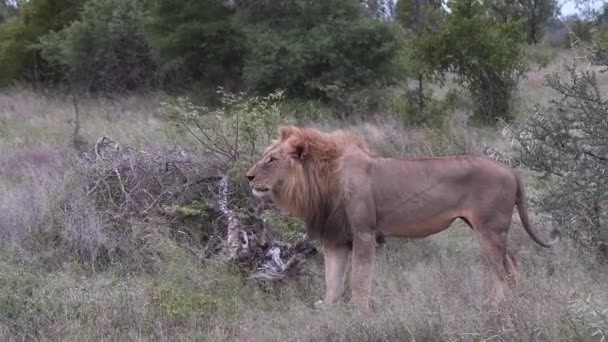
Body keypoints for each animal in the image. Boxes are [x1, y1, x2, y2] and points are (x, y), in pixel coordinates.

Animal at [245, 125, 564, 310]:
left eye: (271, 159)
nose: (248, 177)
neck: (322, 180)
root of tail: (511, 169)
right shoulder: (335, 237)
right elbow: (332, 278)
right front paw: (328, 307)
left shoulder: (364, 233)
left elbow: (359, 279)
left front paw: (359, 312)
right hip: (484, 228)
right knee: (512, 264)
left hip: (489, 231)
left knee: (503, 270)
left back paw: (495, 306)